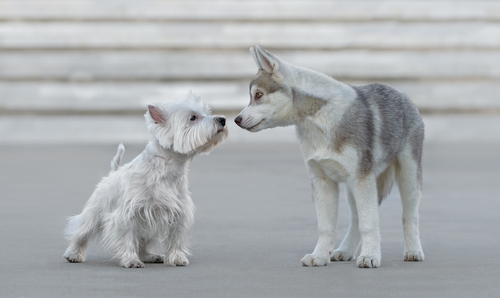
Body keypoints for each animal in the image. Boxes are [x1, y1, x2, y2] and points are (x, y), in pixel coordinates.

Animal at [63, 94, 229, 268]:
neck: (168, 168)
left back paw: (151, 256)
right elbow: (128, 237)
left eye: (205, 113)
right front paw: (131, 260)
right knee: (82, 232)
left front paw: (177, 258)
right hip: (95, 211)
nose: (222, 119)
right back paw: (73, 254)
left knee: (142, 243)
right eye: (192, 117)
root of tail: (114, 171)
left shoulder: (179, 213)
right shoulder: (128, 213)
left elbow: (176, 237)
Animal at [236, 45, 424, 268]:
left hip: (407, 178)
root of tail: (403, 95)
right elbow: (326, 226)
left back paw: (413, 251)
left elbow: (369, 223)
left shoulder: (361, 179)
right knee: (355, 219)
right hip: (355, 189)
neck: (320, 118)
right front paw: (319, 256)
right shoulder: (323, 181)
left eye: (258, 95)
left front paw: (370, 256)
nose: (236, 119)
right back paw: (345, 250)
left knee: (409, 216)